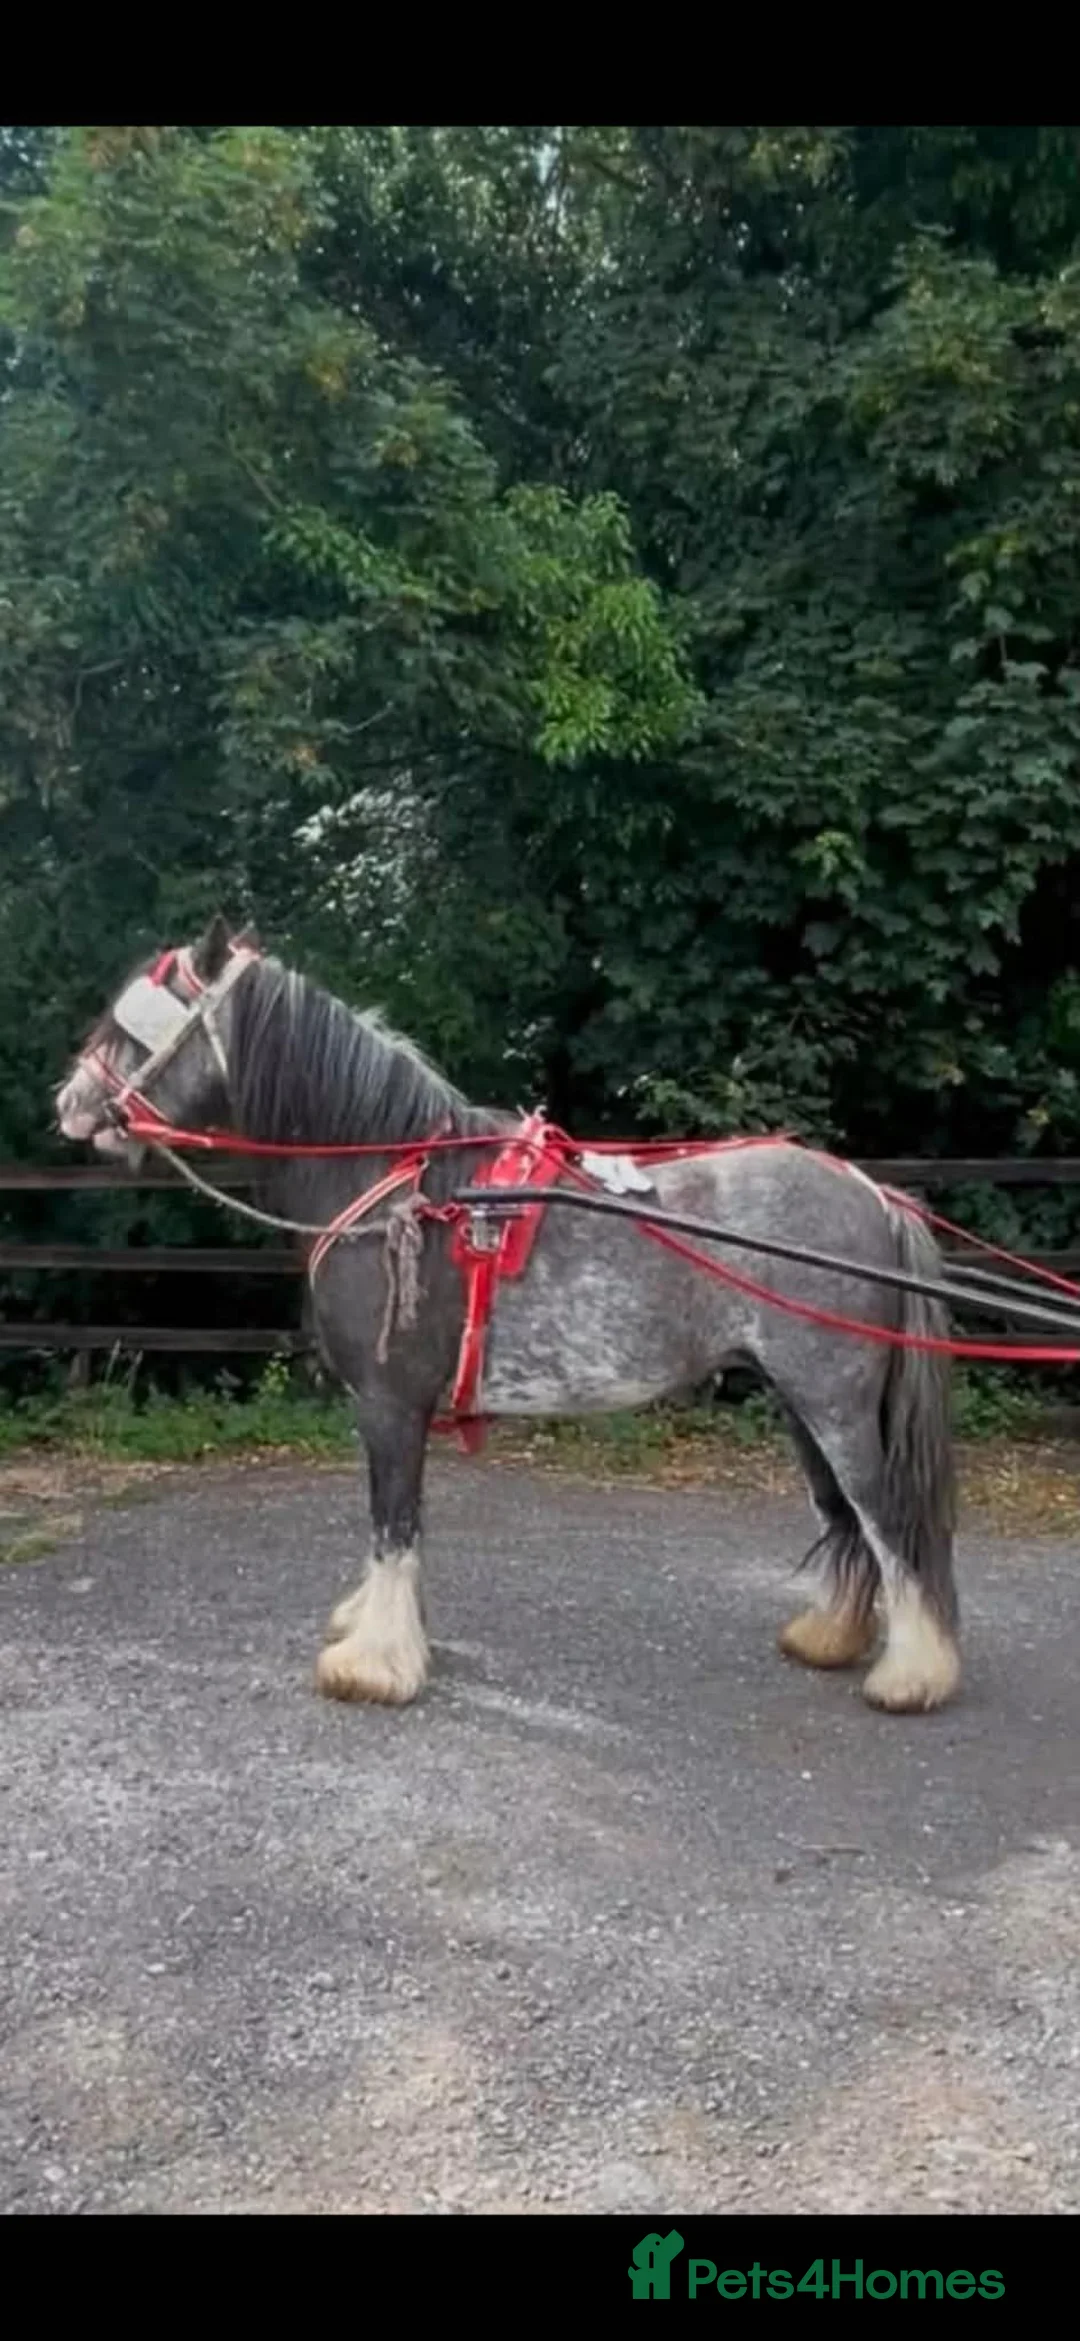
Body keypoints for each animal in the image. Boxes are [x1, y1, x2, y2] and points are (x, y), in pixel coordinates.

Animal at [55, 915, 961, 1717]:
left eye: (133, 1028)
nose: (70, 1101)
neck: (401, 1182)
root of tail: (872, 1193)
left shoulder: (389, 1403)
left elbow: (393, 1524)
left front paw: (374, 1664)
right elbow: (403, 1530)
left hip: (834, 1405)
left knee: (886, 1519)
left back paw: (913, 1675)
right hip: (800, 1404)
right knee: (845, 1518)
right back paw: (833, 1636)